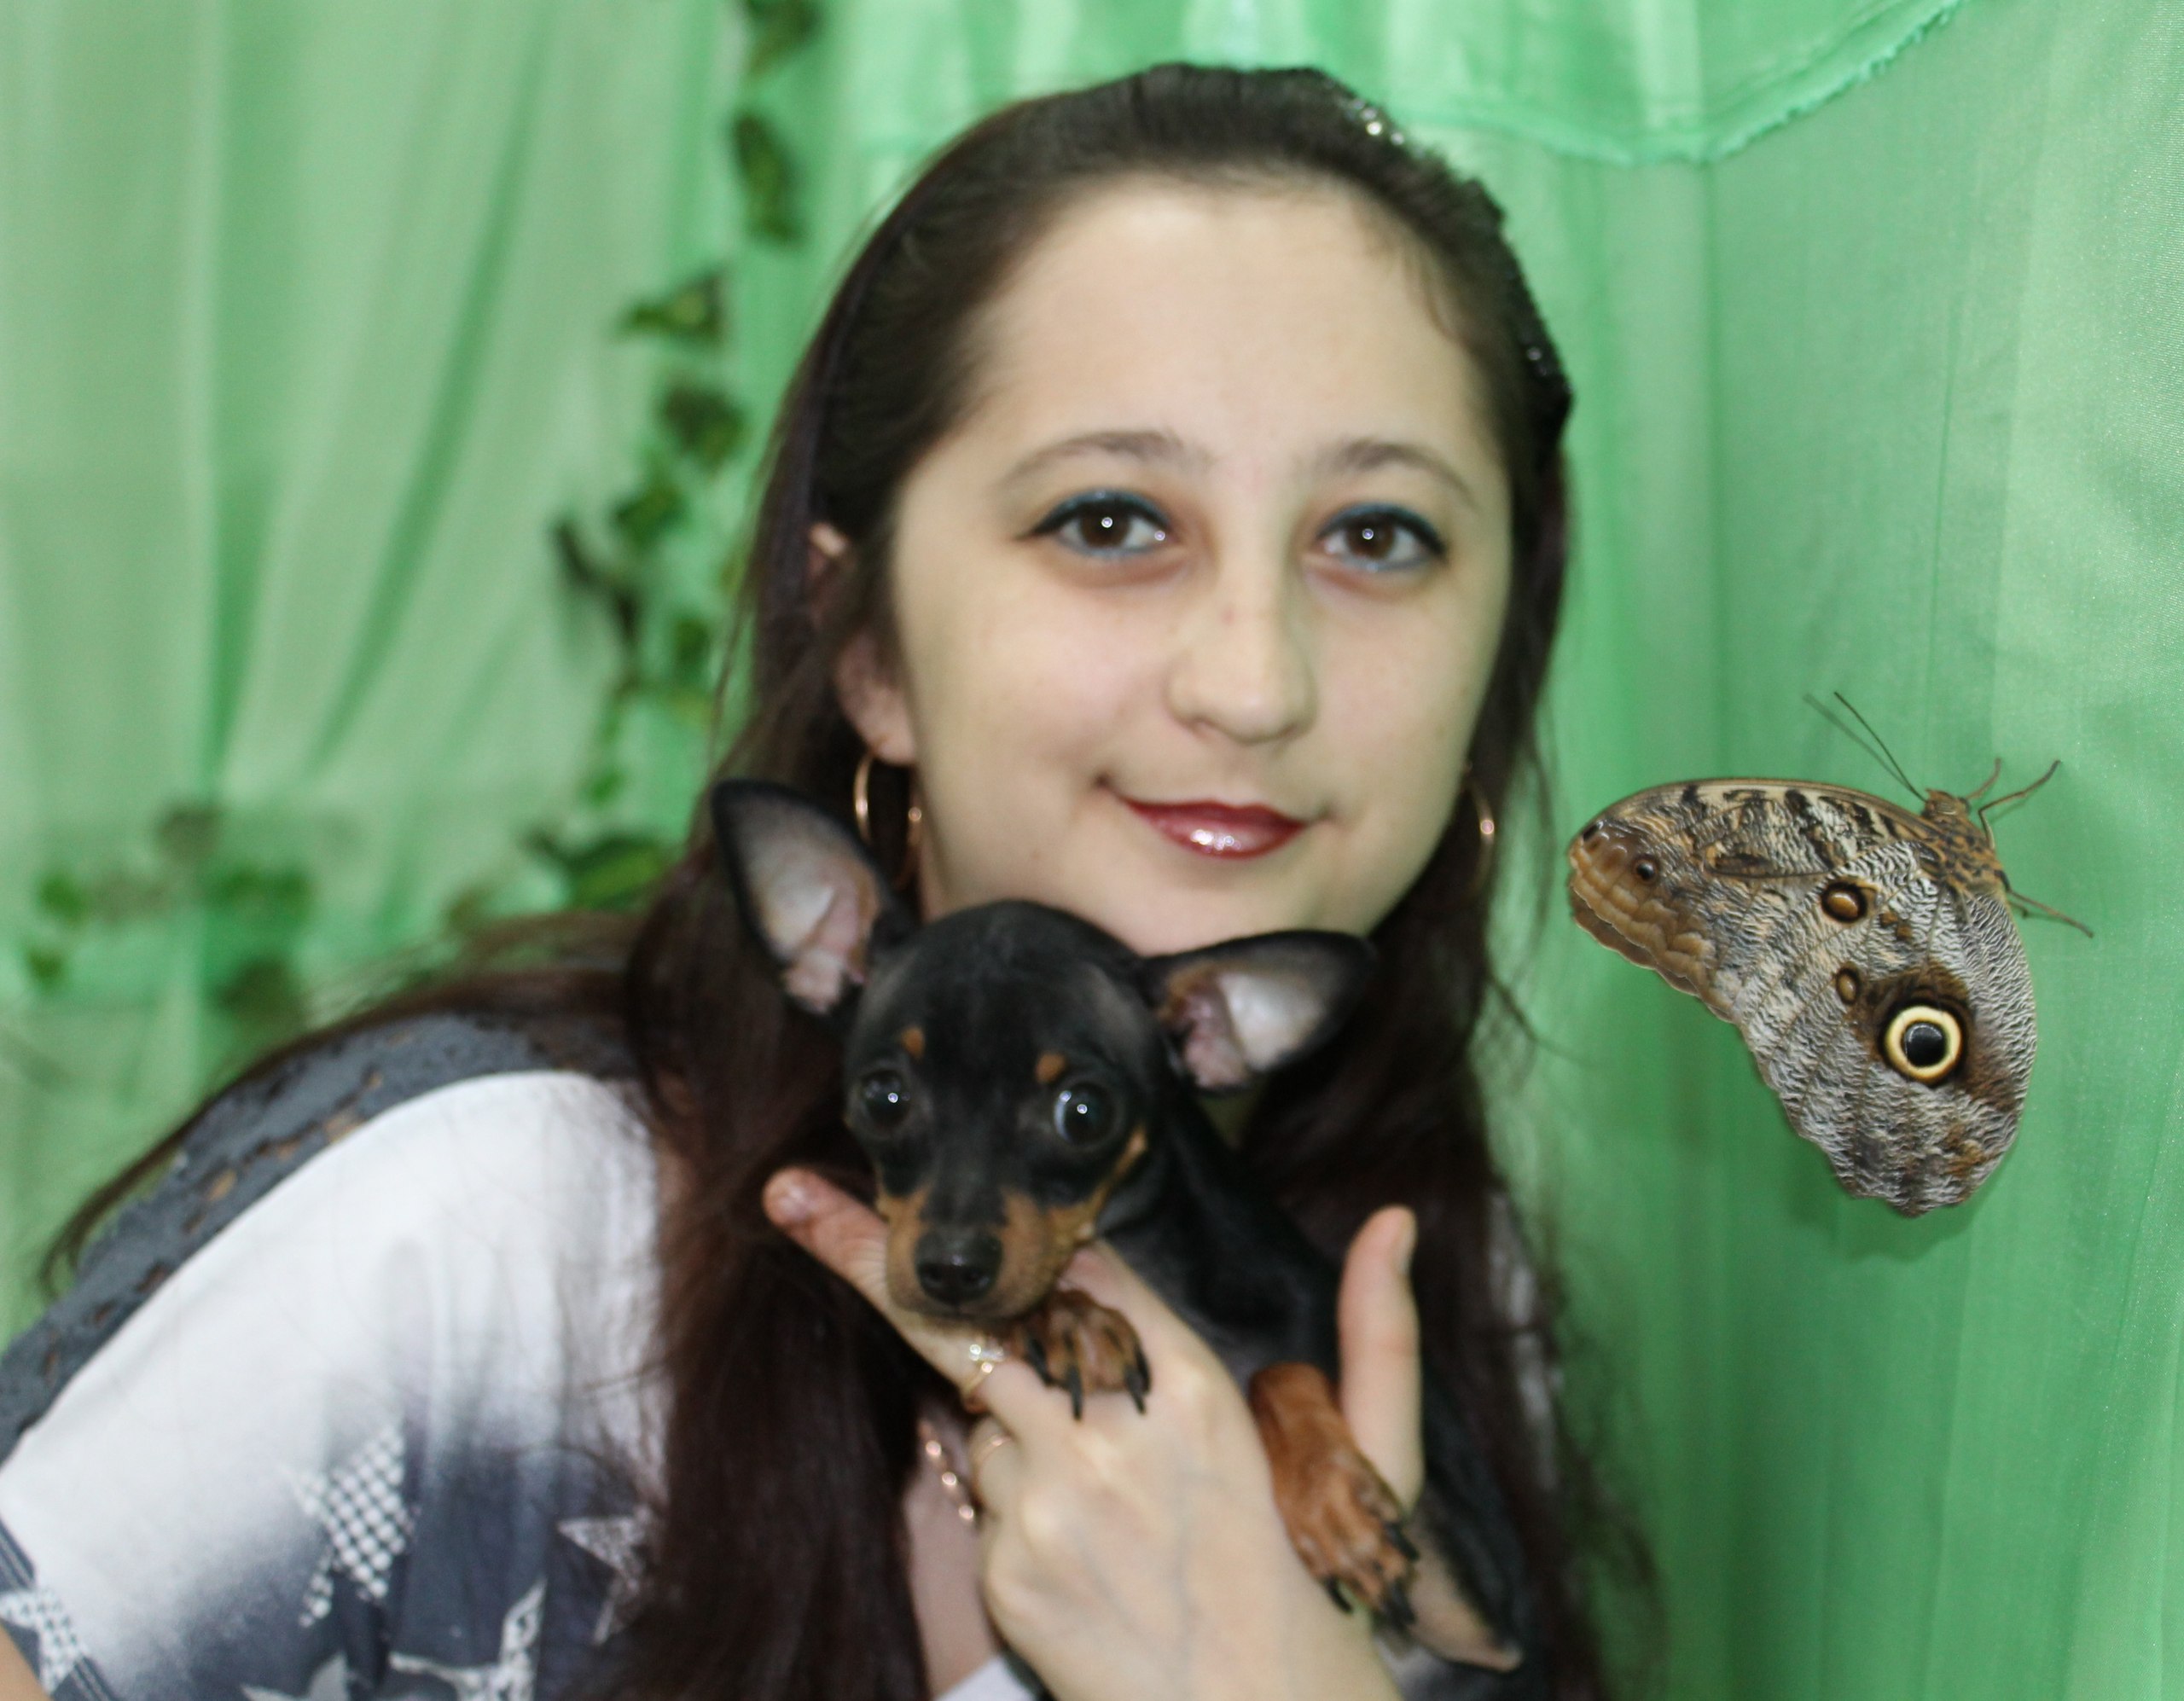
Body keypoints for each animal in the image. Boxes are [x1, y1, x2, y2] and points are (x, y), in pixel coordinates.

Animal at [713, 780, 1542, 1694]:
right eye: (882, 1098)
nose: (950, 1270)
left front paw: (1336, 1501)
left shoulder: (1483, 1610)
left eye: (1084, 1113)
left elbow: (1278, 1371)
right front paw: (1065, 1317)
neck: (1152, 1261)